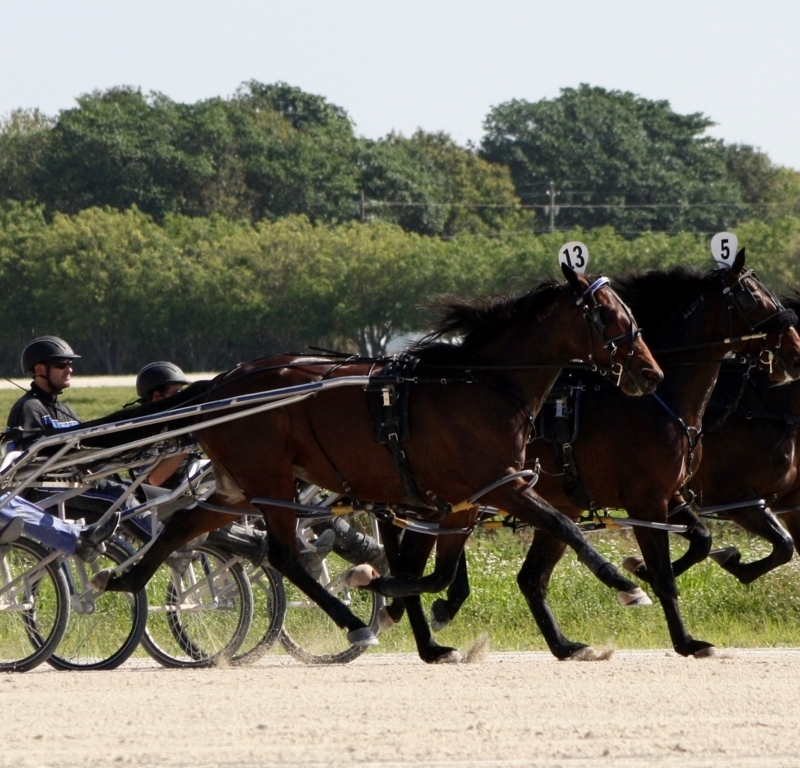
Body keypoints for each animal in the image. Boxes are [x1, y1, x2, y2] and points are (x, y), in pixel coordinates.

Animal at [95, 266, 664, 660]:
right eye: (608, 315)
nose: (650, 373)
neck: (481, 385)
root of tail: (223, 384)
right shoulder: (502, 486)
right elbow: (565, 526)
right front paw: (627, 586)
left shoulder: (462, 502)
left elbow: (435, 574)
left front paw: (390, 590)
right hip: (271, 480)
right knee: (282, 555)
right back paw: (352, 623)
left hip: (238, 484)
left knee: (186, 523)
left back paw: (123, 580)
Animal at [412, 249, 800, 656]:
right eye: (752, 297)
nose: (795, 354)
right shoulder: (658, 500)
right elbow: (665, 572)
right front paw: (684, 637)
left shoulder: (675, 496)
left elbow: (705, 539)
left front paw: (649, 570)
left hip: (548, 503)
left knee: (530, 577)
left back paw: (557, 644)